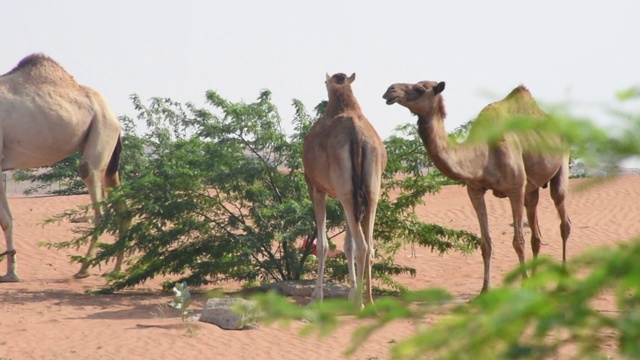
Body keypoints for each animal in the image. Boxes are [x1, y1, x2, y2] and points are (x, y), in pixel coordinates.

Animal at [0, 52, 129, 282]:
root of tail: (114, 116)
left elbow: (5, 218)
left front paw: (12, 274)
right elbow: (7, 219)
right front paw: (11, 273)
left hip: (103, 127)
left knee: (95, 191)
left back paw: (84, 270)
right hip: (109, 149)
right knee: (121, 203)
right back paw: (116, 270)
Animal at [304, 72, 388, 306]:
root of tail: (357, 137)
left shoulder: (315, 187)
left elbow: (323, 245)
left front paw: (316, 297)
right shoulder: (346, 196)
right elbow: (347, 244)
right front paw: (351, 291)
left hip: (347, 193)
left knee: (363, 246)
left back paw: (360, 303)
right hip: (369, 193)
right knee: (369, 246)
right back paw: (368, 300)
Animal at [382, 79, 572, 292]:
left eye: (420, 88)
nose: (390, 90)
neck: (483, 154)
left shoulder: (515, 188)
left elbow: (518, 242)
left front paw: (522, 285)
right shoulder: (474, 189)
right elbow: (485, 243)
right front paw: (484, 290)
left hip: (562, 161)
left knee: (563, 217)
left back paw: (562, 281)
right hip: (532, 187)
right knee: (536, 232)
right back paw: (536, 282)